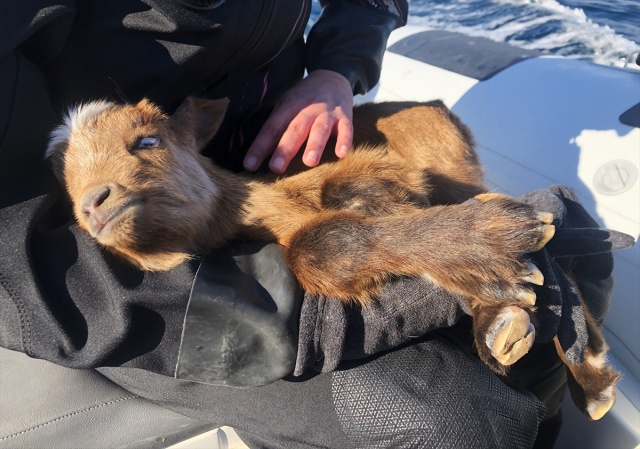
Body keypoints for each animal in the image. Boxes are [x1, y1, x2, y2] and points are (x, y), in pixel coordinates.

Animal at [48, 96, 620, 418]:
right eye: (65, 180)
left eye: (147, 141)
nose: (92, 203)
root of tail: (438, 105)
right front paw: (491, 287)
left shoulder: (387, 175)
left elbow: (325, 231)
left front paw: (486, 241)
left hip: (453, 164)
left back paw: (584, 363)